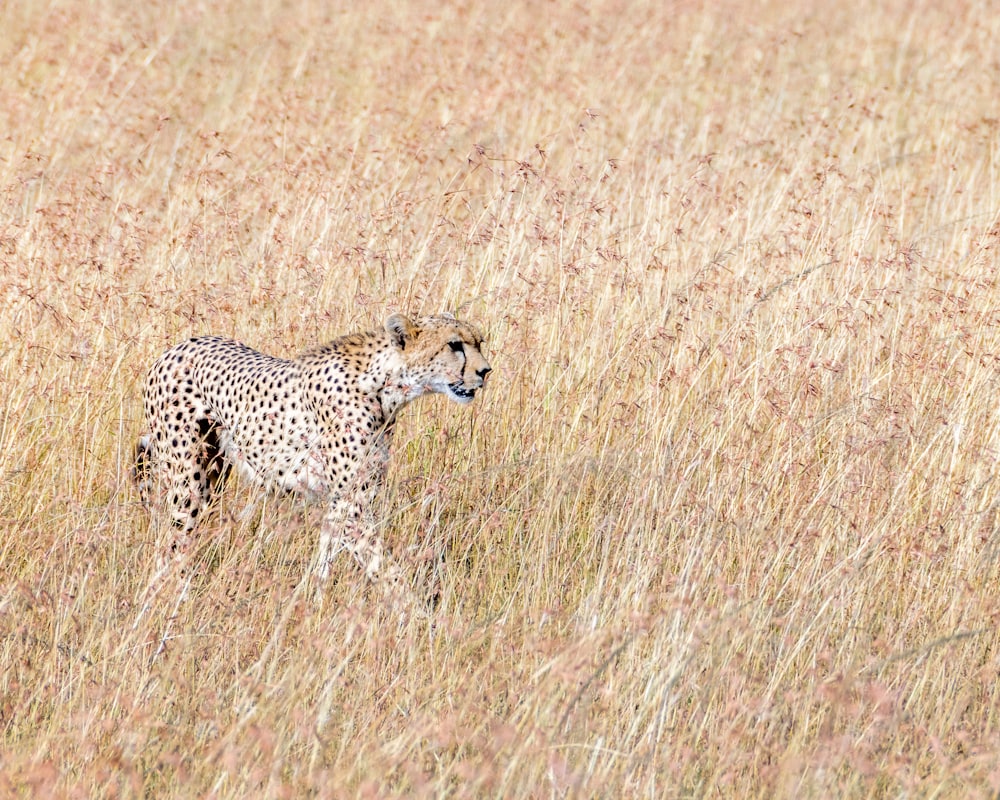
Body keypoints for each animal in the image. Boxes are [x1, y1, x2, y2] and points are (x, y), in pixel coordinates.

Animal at [133, 312, 491, 597]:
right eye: (454, 345)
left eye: (479, 342)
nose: (485, 371)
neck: (385, 386)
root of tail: (175, 348)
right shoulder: (353, 503)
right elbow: (383, 566)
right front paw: (417, 616)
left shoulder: (344, 498)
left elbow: (327, 556)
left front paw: (313, 600)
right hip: (189, 478)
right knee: (172, 542)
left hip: (215, 471)